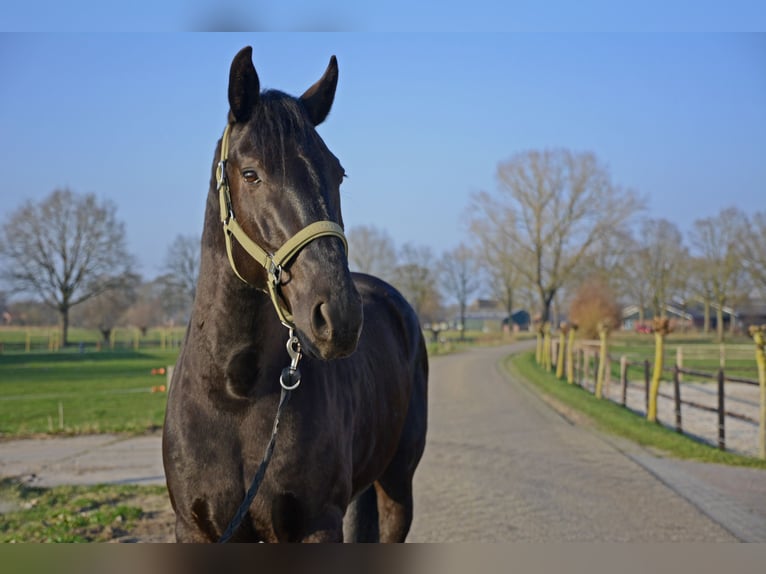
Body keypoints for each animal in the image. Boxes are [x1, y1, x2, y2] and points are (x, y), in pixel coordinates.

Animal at [162, 46, 428, 543]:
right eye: (251, 173)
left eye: (338, 173)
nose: (339, 315)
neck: (236, 393)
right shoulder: (196, 530)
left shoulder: (316, 526)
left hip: (397, 483)